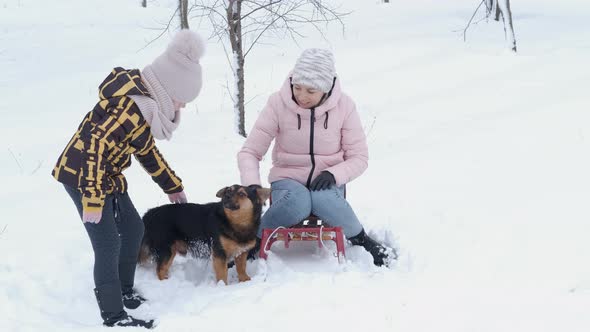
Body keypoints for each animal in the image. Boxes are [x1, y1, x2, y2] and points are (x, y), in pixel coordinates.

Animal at [139, 185, 270, 284]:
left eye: (242, 194)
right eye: (228, 190)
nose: (226, 196)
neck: (235, 223)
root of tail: (148, 215)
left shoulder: (242, 252)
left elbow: (241, 269)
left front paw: (245, 281)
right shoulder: (219, 253)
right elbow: (222, 274)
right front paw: (223, 287)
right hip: (166, 249)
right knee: (160, 270)